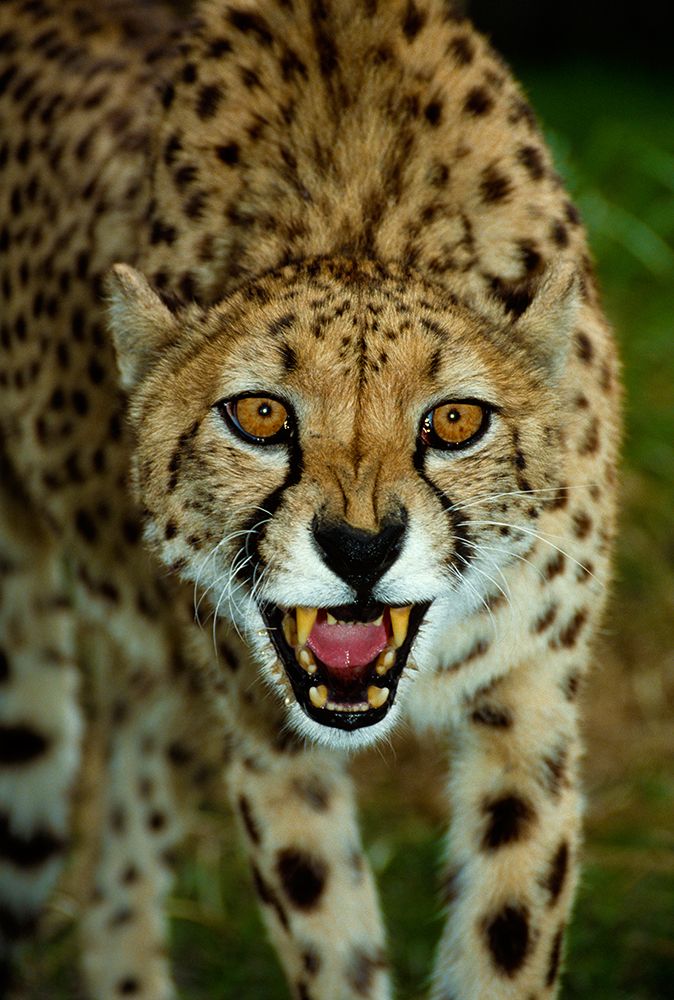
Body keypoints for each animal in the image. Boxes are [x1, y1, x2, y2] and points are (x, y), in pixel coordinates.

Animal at [0, 0, 620, 997]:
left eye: (454, 421)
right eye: (259, 415)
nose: (360, 549)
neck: (358, 215)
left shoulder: (531, 710)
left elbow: (508, 937)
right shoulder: (266, 737)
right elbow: (332, 937)